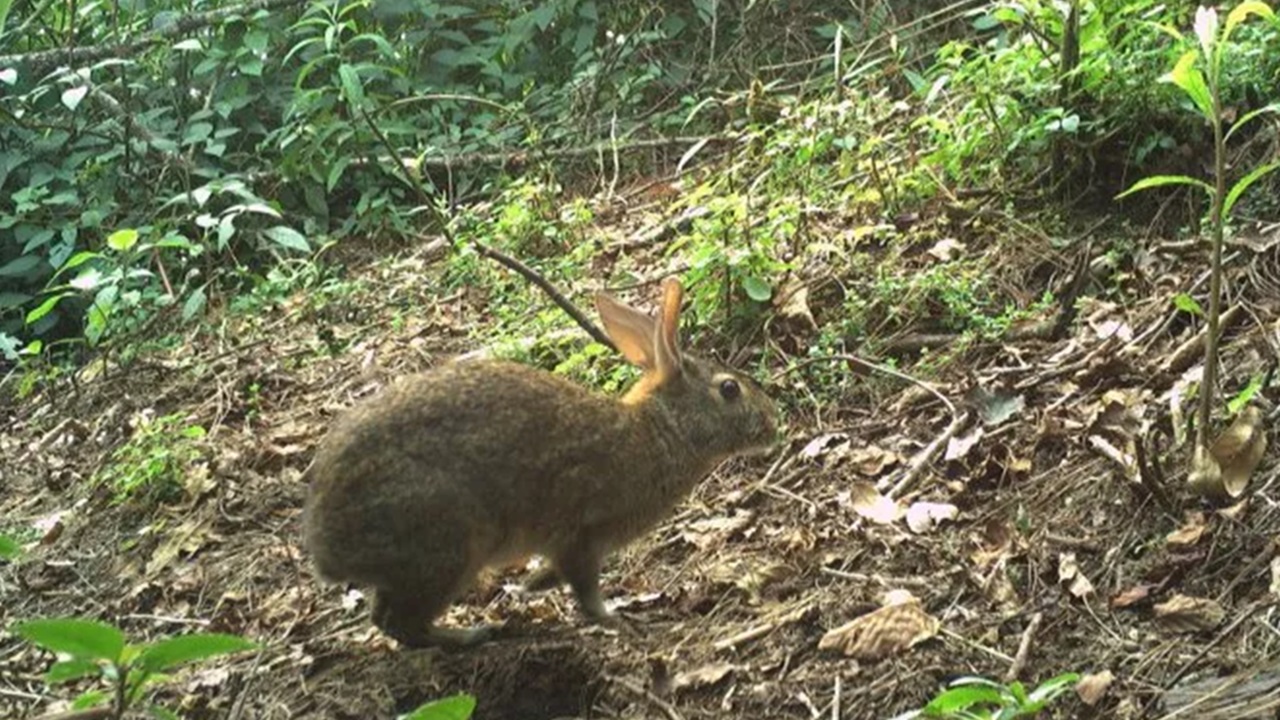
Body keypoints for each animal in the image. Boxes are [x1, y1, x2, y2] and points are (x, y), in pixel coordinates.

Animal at [301, 278, 780, 648]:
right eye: (730, 389)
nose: (773, 423)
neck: (660, 430)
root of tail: (327, 546)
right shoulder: (583, 535)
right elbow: (585, 589)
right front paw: (616, 617)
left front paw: (529, 586)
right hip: (449, 546)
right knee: (398, 621)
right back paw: (472, 635)